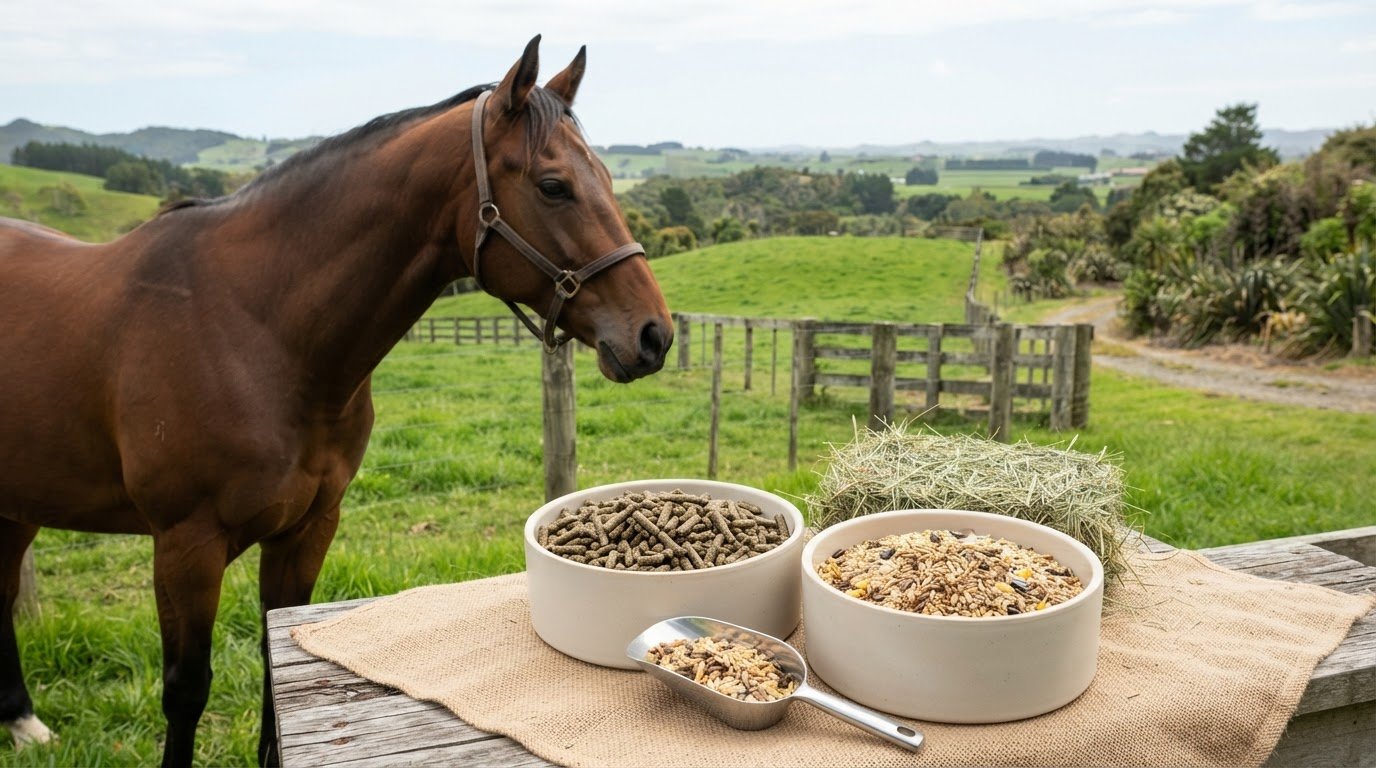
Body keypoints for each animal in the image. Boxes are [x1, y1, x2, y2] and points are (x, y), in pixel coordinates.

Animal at [0, 35, 672, 767]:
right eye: (553, 185)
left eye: (607, 177)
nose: (654, 335)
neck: (255, 329)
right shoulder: (185, 545)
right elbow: (185, 689)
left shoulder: (308, 529)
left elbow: (274, 663)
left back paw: (22, 721)